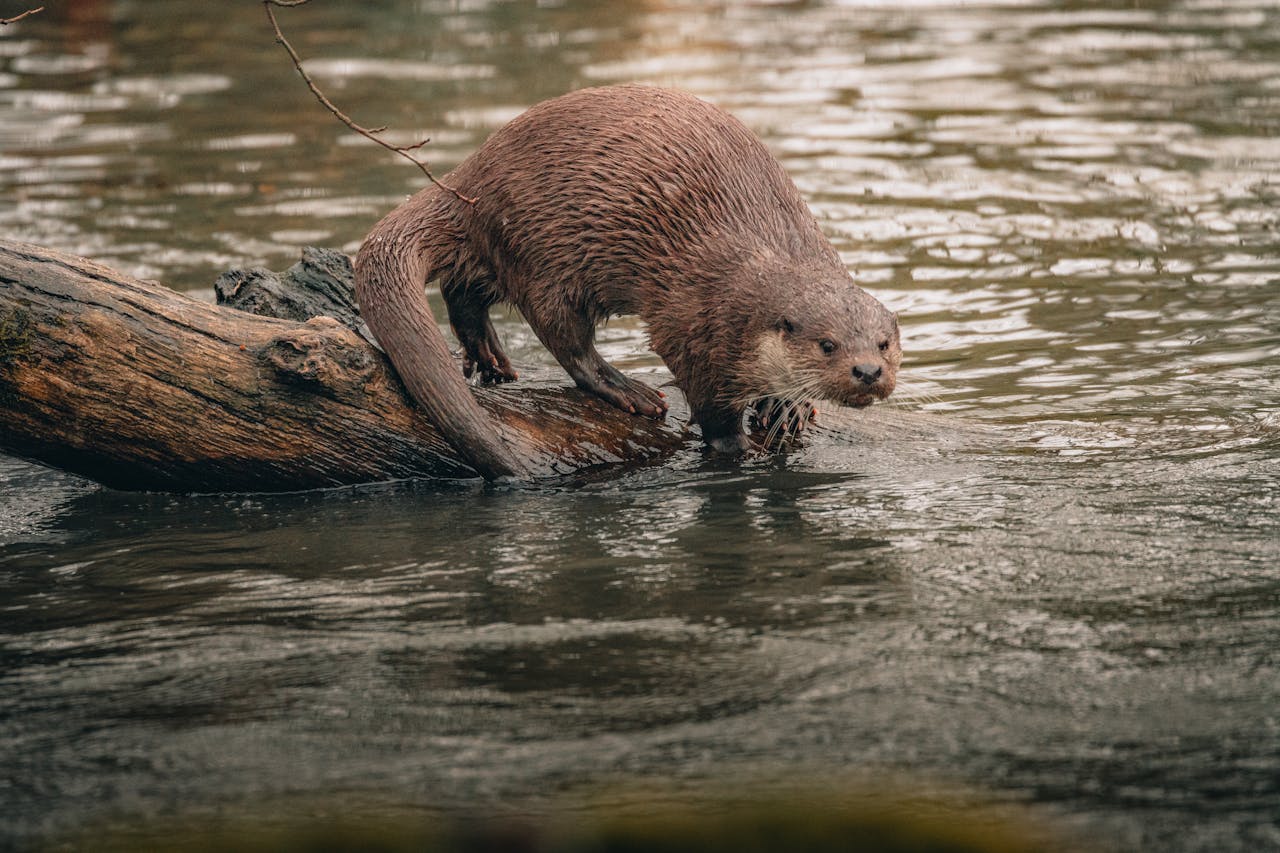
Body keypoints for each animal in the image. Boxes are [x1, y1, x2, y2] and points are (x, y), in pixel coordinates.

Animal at [354, 85, 900, 480]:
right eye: (827, 345)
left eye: (884, 343)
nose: (868, 371)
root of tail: (468, 180)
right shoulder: (690, 322)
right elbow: (708, 403)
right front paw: (735, 447)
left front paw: (787, 408)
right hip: (545, 250)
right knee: (563, 338)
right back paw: (626, 390)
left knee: (464, 289)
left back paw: (489, 358)